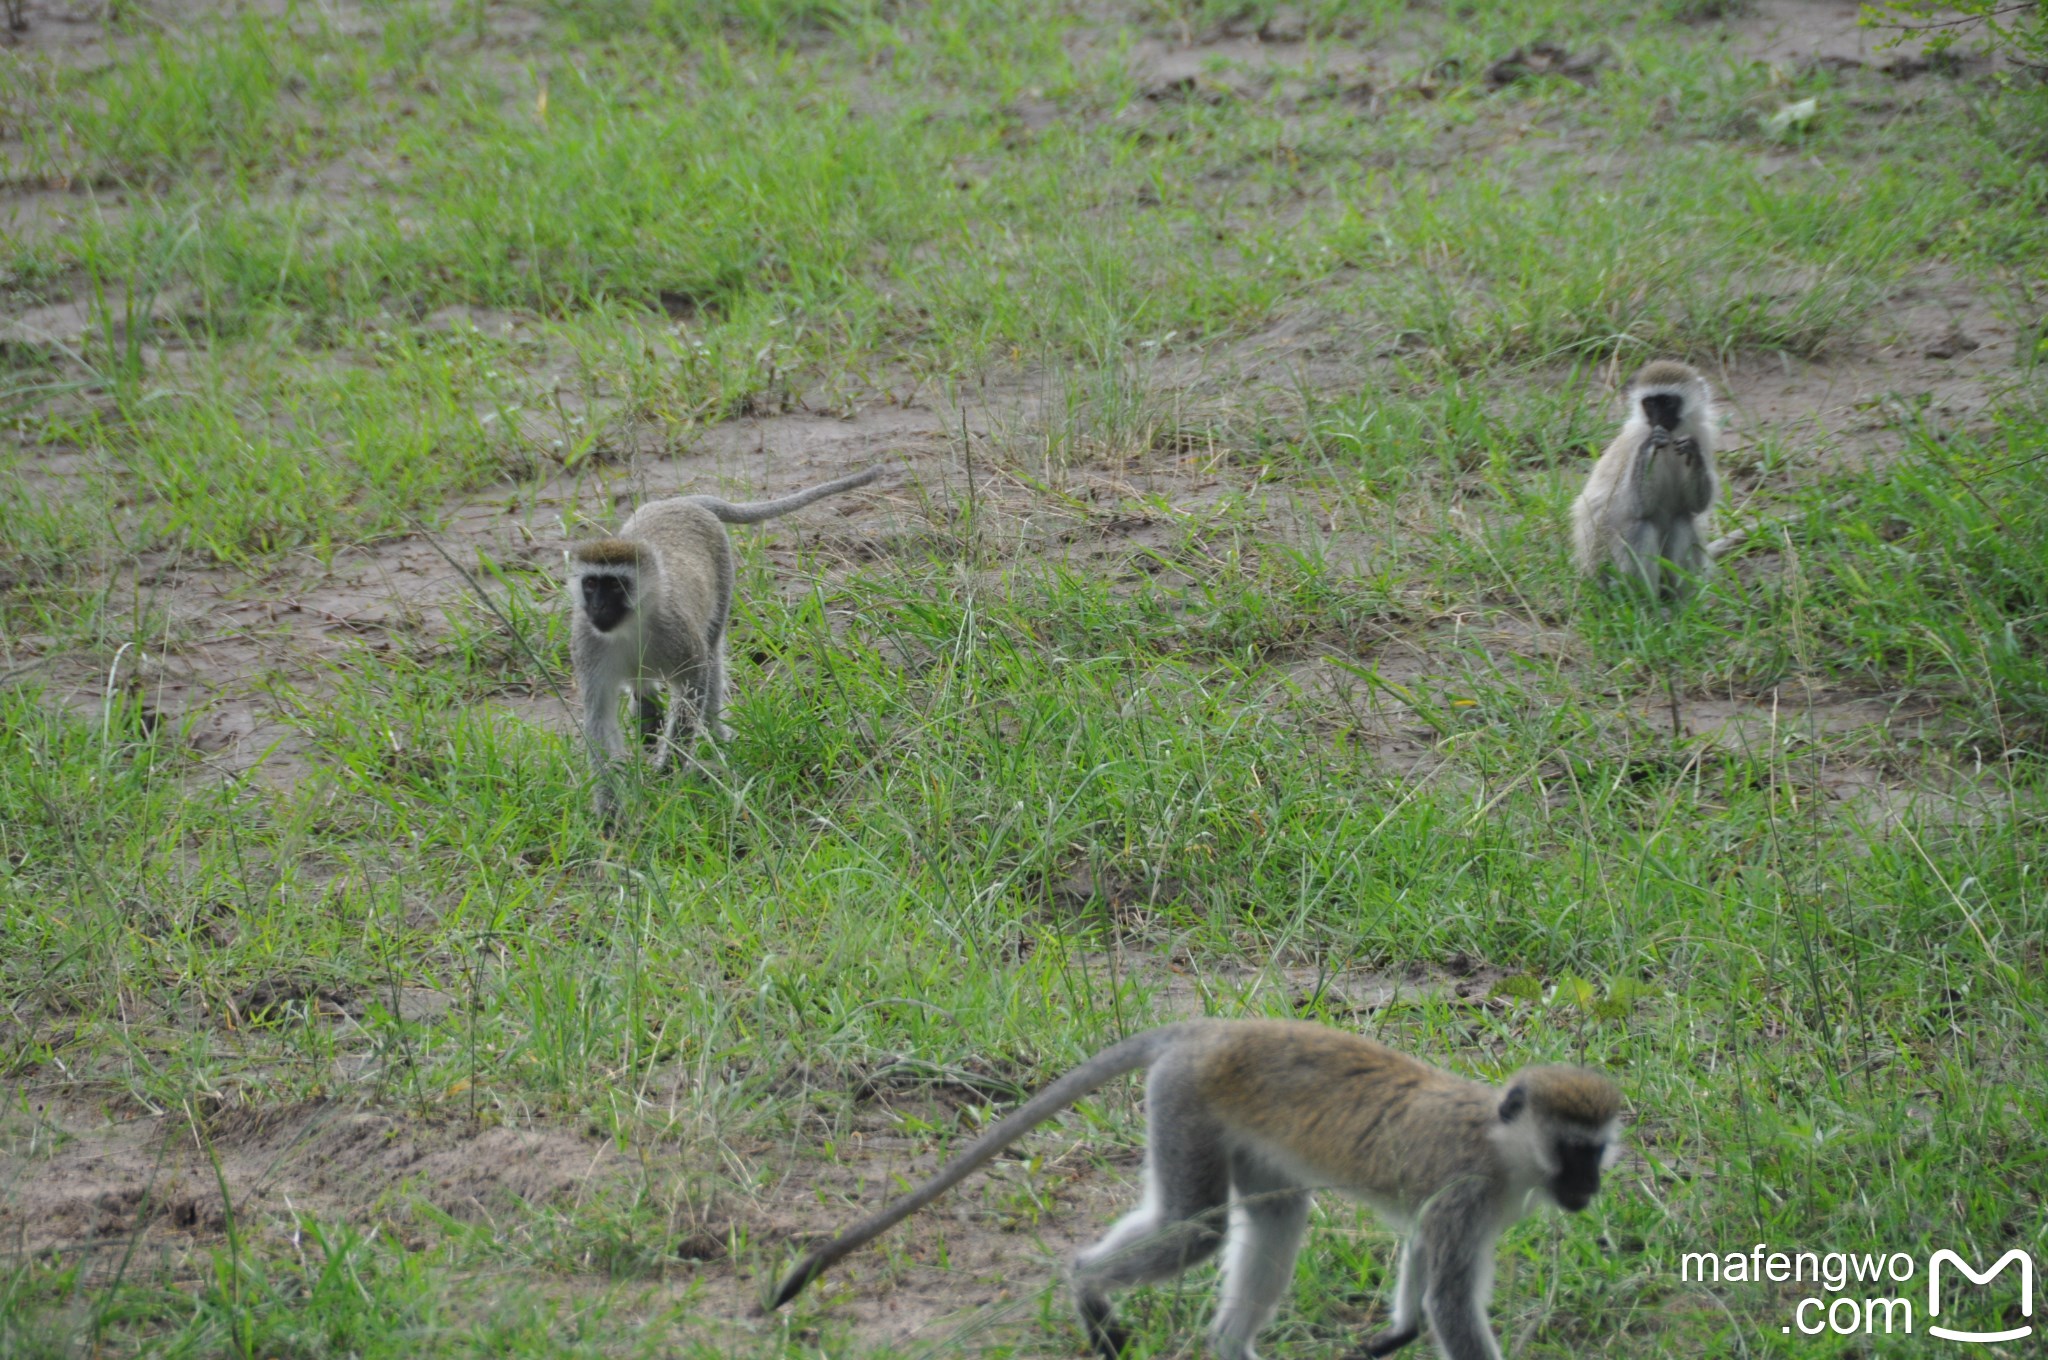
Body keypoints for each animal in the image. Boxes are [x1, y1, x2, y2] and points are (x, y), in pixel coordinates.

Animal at [565, 466, 876, 811]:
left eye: (615, 586)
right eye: (591, 584)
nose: (598, 607)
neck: (630, 625)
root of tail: (679, 502)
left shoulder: (677, 634)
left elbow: (694, 685)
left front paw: (669, 772)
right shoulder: (587, 642)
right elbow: (600, 719)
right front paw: (611, 812)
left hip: (723, 573)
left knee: (712, 656)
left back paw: (717, 738)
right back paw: (647, 707)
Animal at [761, 1020, 1622, 1360]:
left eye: (1598, 1153)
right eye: (1573, 1151)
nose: (1588, 1190)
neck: (1503, 1144)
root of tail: (1208, 1029)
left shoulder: (1457, 1209)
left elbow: (1423, 1266)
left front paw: (1398, 1332)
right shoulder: (1471, 1193)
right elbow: (1452, 1301)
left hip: (1224, 1123)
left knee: (1258, 1215)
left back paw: (1215, 1339)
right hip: (1186, 1102)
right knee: (1198, 1226)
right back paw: (1088, 1286)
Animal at [1572, 358, 1720, 602]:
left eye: (1667, 402)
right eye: (1649, 403)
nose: (1657, 419)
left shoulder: (1702, 434)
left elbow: (1695, 506)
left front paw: (1694, 453)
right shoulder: (1634, 439)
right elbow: (1637, 507)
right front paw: (1650, 444)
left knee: (1683, 520)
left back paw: (1680, 603)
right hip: (1609, 574)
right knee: (1638, 527)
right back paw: (1648, 604)